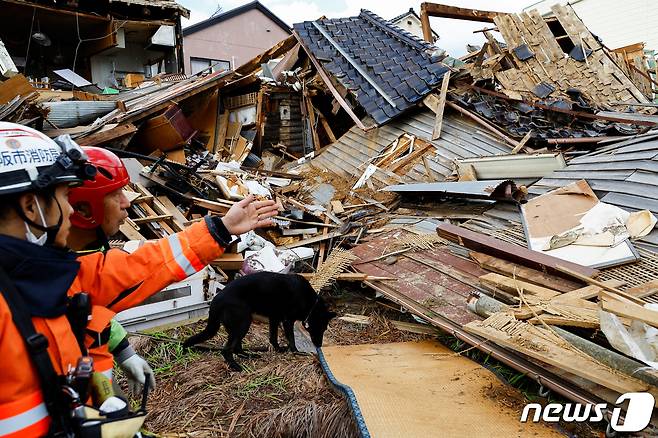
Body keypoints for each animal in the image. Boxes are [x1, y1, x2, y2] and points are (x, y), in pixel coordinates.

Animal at [182, 272, 334, 372]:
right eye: (321, 328)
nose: (319, 345)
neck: (311, 304)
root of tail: (216, 300)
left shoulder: (275, 318)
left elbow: (273, 337)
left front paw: (278, 349)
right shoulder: (287, 321)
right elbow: (291, 338)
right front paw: (296, 352)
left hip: (237, 326)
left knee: (236, 347)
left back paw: (248, 356)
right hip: (243, 322)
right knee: (227, 350)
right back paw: (235, 366)